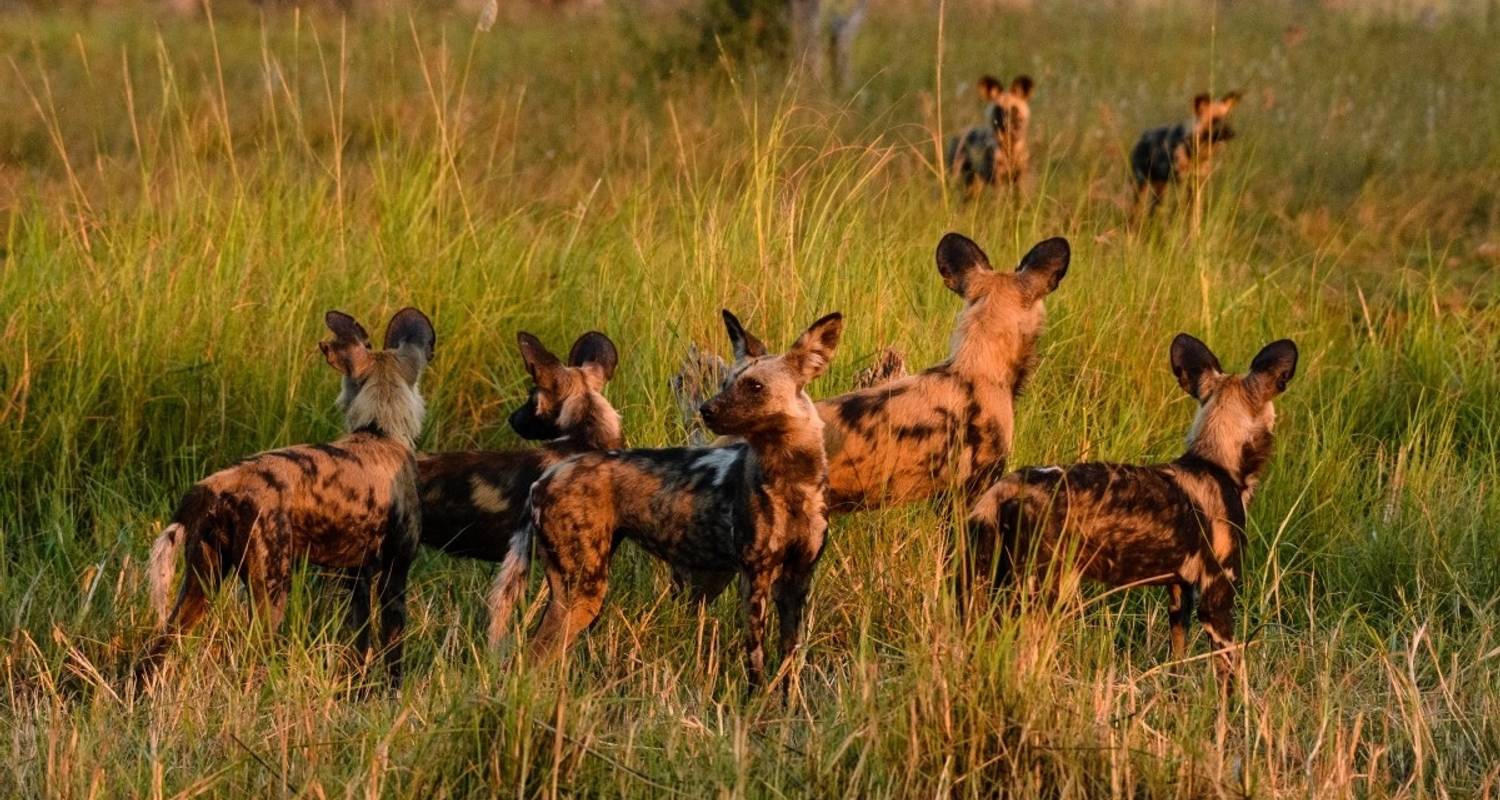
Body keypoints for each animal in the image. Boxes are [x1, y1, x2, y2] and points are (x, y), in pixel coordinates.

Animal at [136, 306, 435, 687]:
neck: (378, 431)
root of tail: (215, 487)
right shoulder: (395, 575)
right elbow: (393, 655)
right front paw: (391, 693)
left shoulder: (357, 577)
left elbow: (359, 647)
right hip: (272, 590)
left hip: (199, 585)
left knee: (154, 652)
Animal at [492, 310, 846, 687]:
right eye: (726, 382)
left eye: (755, 387)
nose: (706, 409)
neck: (792, 481)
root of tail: (547, 476)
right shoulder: (756, 579)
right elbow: (757, 666)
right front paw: (755, 701)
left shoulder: (796, 581)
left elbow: (788, 667)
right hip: (581, 594)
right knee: (529, 660)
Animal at [960, 330, 1302, 687]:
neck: (1214, 463)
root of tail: (1005, 487)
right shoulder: (1217, 596)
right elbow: (1230, 677)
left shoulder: (1179, 593)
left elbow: (1176, 664)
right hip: (1044, 593)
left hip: (985, 583)